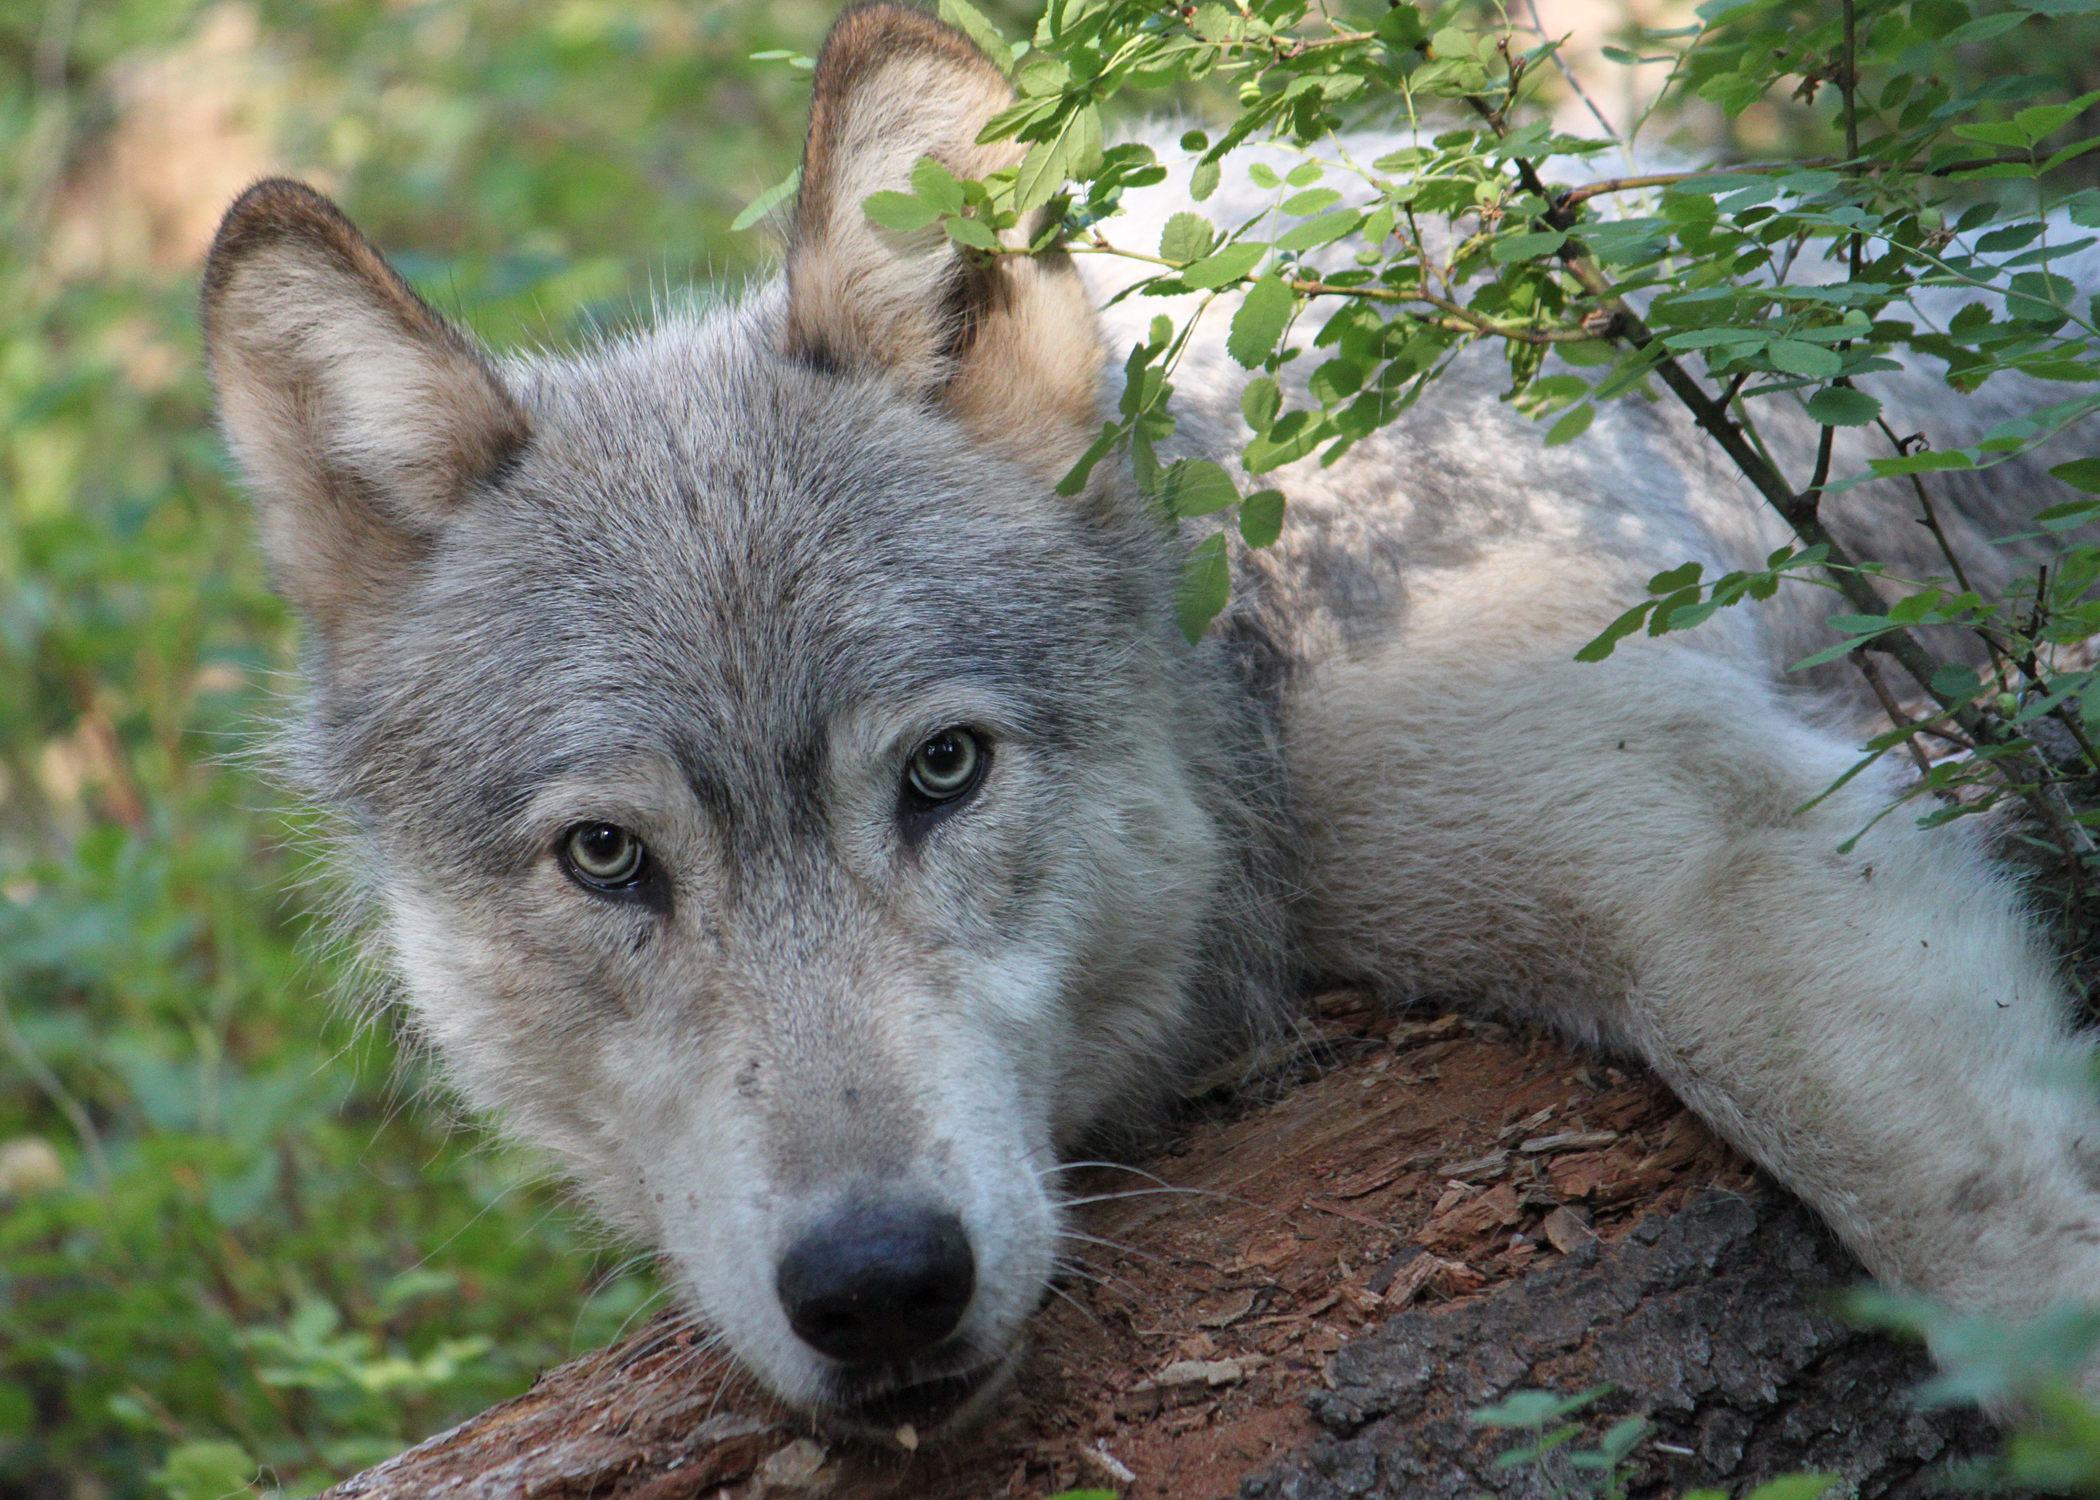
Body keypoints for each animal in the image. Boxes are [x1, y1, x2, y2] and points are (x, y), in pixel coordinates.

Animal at [204, 0, 2100, 1436]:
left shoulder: (1709, 841)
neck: (1253, 615)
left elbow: (2005, 1263)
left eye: (943, 770)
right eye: (608, 859)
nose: (878, 1289)